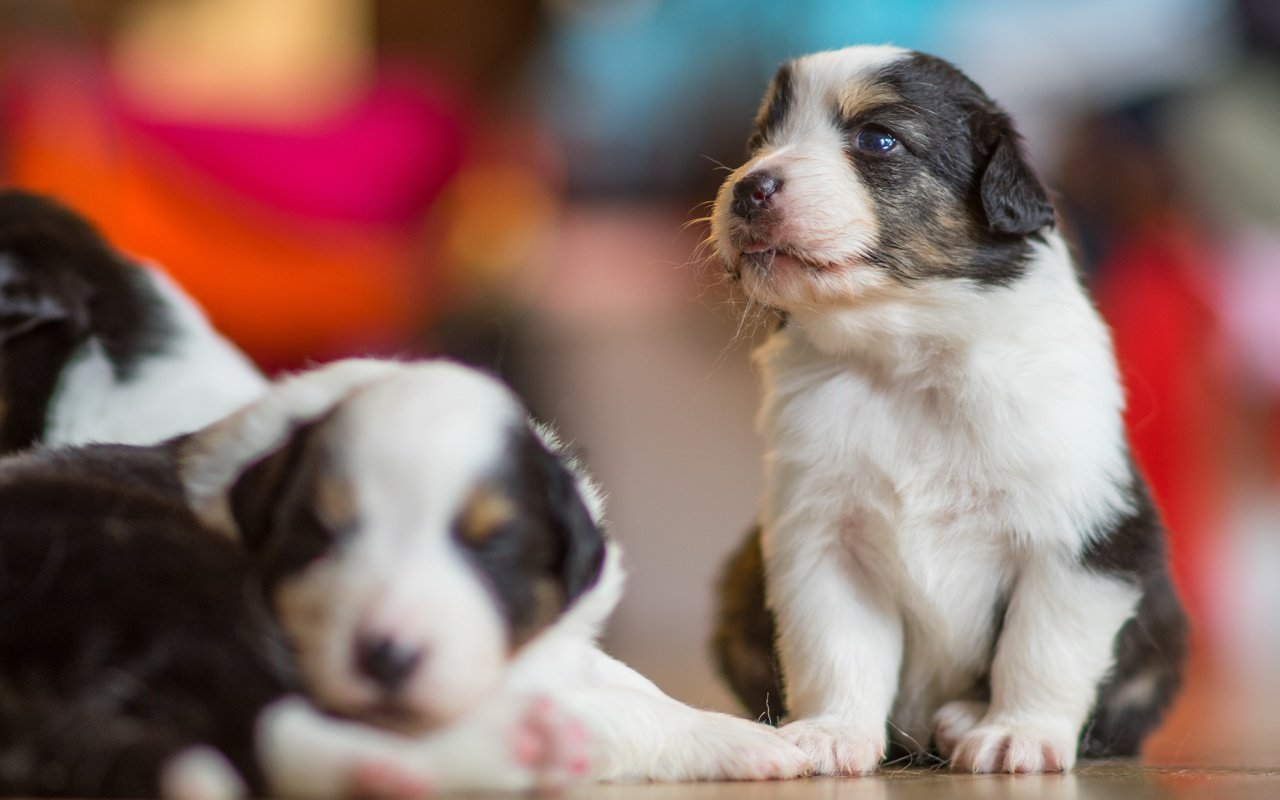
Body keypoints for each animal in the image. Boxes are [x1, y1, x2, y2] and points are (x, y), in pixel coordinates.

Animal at [706, 45, 1182, 773]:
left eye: (878, 140)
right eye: (761, 141)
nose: (746, 189)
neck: (912, 361)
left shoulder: (1084, 531)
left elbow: (1041, 646)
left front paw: (1018, 733)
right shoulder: (821, 535)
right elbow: (836, 645)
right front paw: (831, 733)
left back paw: (964, 720)